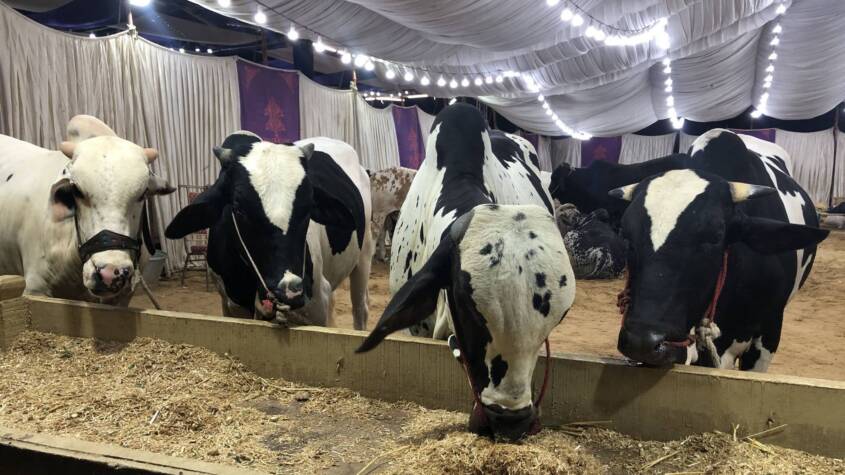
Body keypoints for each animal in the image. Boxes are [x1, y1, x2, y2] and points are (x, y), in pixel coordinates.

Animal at [165, 132, 373, 329]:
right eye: (238, 208)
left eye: (309, 207)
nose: (289, 289)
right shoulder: (233, 305)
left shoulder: (316, 304)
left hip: (364, 257)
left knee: (360, 310)